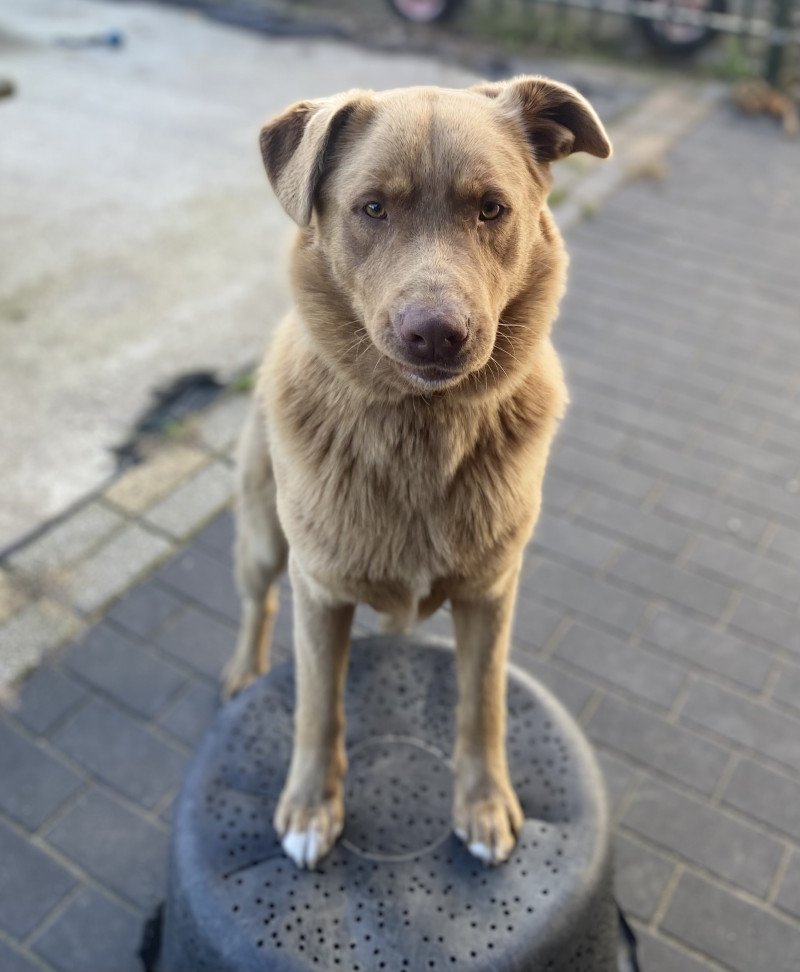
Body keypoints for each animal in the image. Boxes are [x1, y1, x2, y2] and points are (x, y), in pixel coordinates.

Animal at [225, 74, 612, 864]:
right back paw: (245, 670)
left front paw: (484, 804)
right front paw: (311, 808)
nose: (436, 334)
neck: (420, 434)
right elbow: (317, 707)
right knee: (258, 603)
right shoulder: (319, 591)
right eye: (372, 207)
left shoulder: (493, 591)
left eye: (491, 208)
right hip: (262, 537)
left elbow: (482, 703)